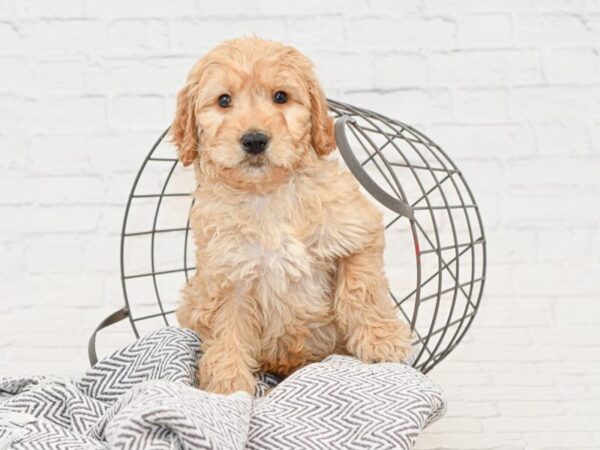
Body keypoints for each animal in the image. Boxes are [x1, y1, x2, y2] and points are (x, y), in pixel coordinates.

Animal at [171, 36, 410, 394]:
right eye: (224, 100)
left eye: (280, 97)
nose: (254, 140)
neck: (269, 194)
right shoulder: (227, 277)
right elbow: (227, 331)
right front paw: (228, 385)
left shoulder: (357, 232)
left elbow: (361, 290)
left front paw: (381, 342)